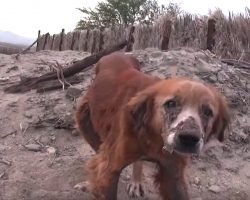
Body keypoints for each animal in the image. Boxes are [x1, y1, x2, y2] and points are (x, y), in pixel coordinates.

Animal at [74, 52, 229, 199]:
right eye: (170, 103)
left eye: (208, 112)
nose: (189, 139)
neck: (152, 135)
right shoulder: (109, 169)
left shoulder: (173, 173)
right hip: (86, 124)